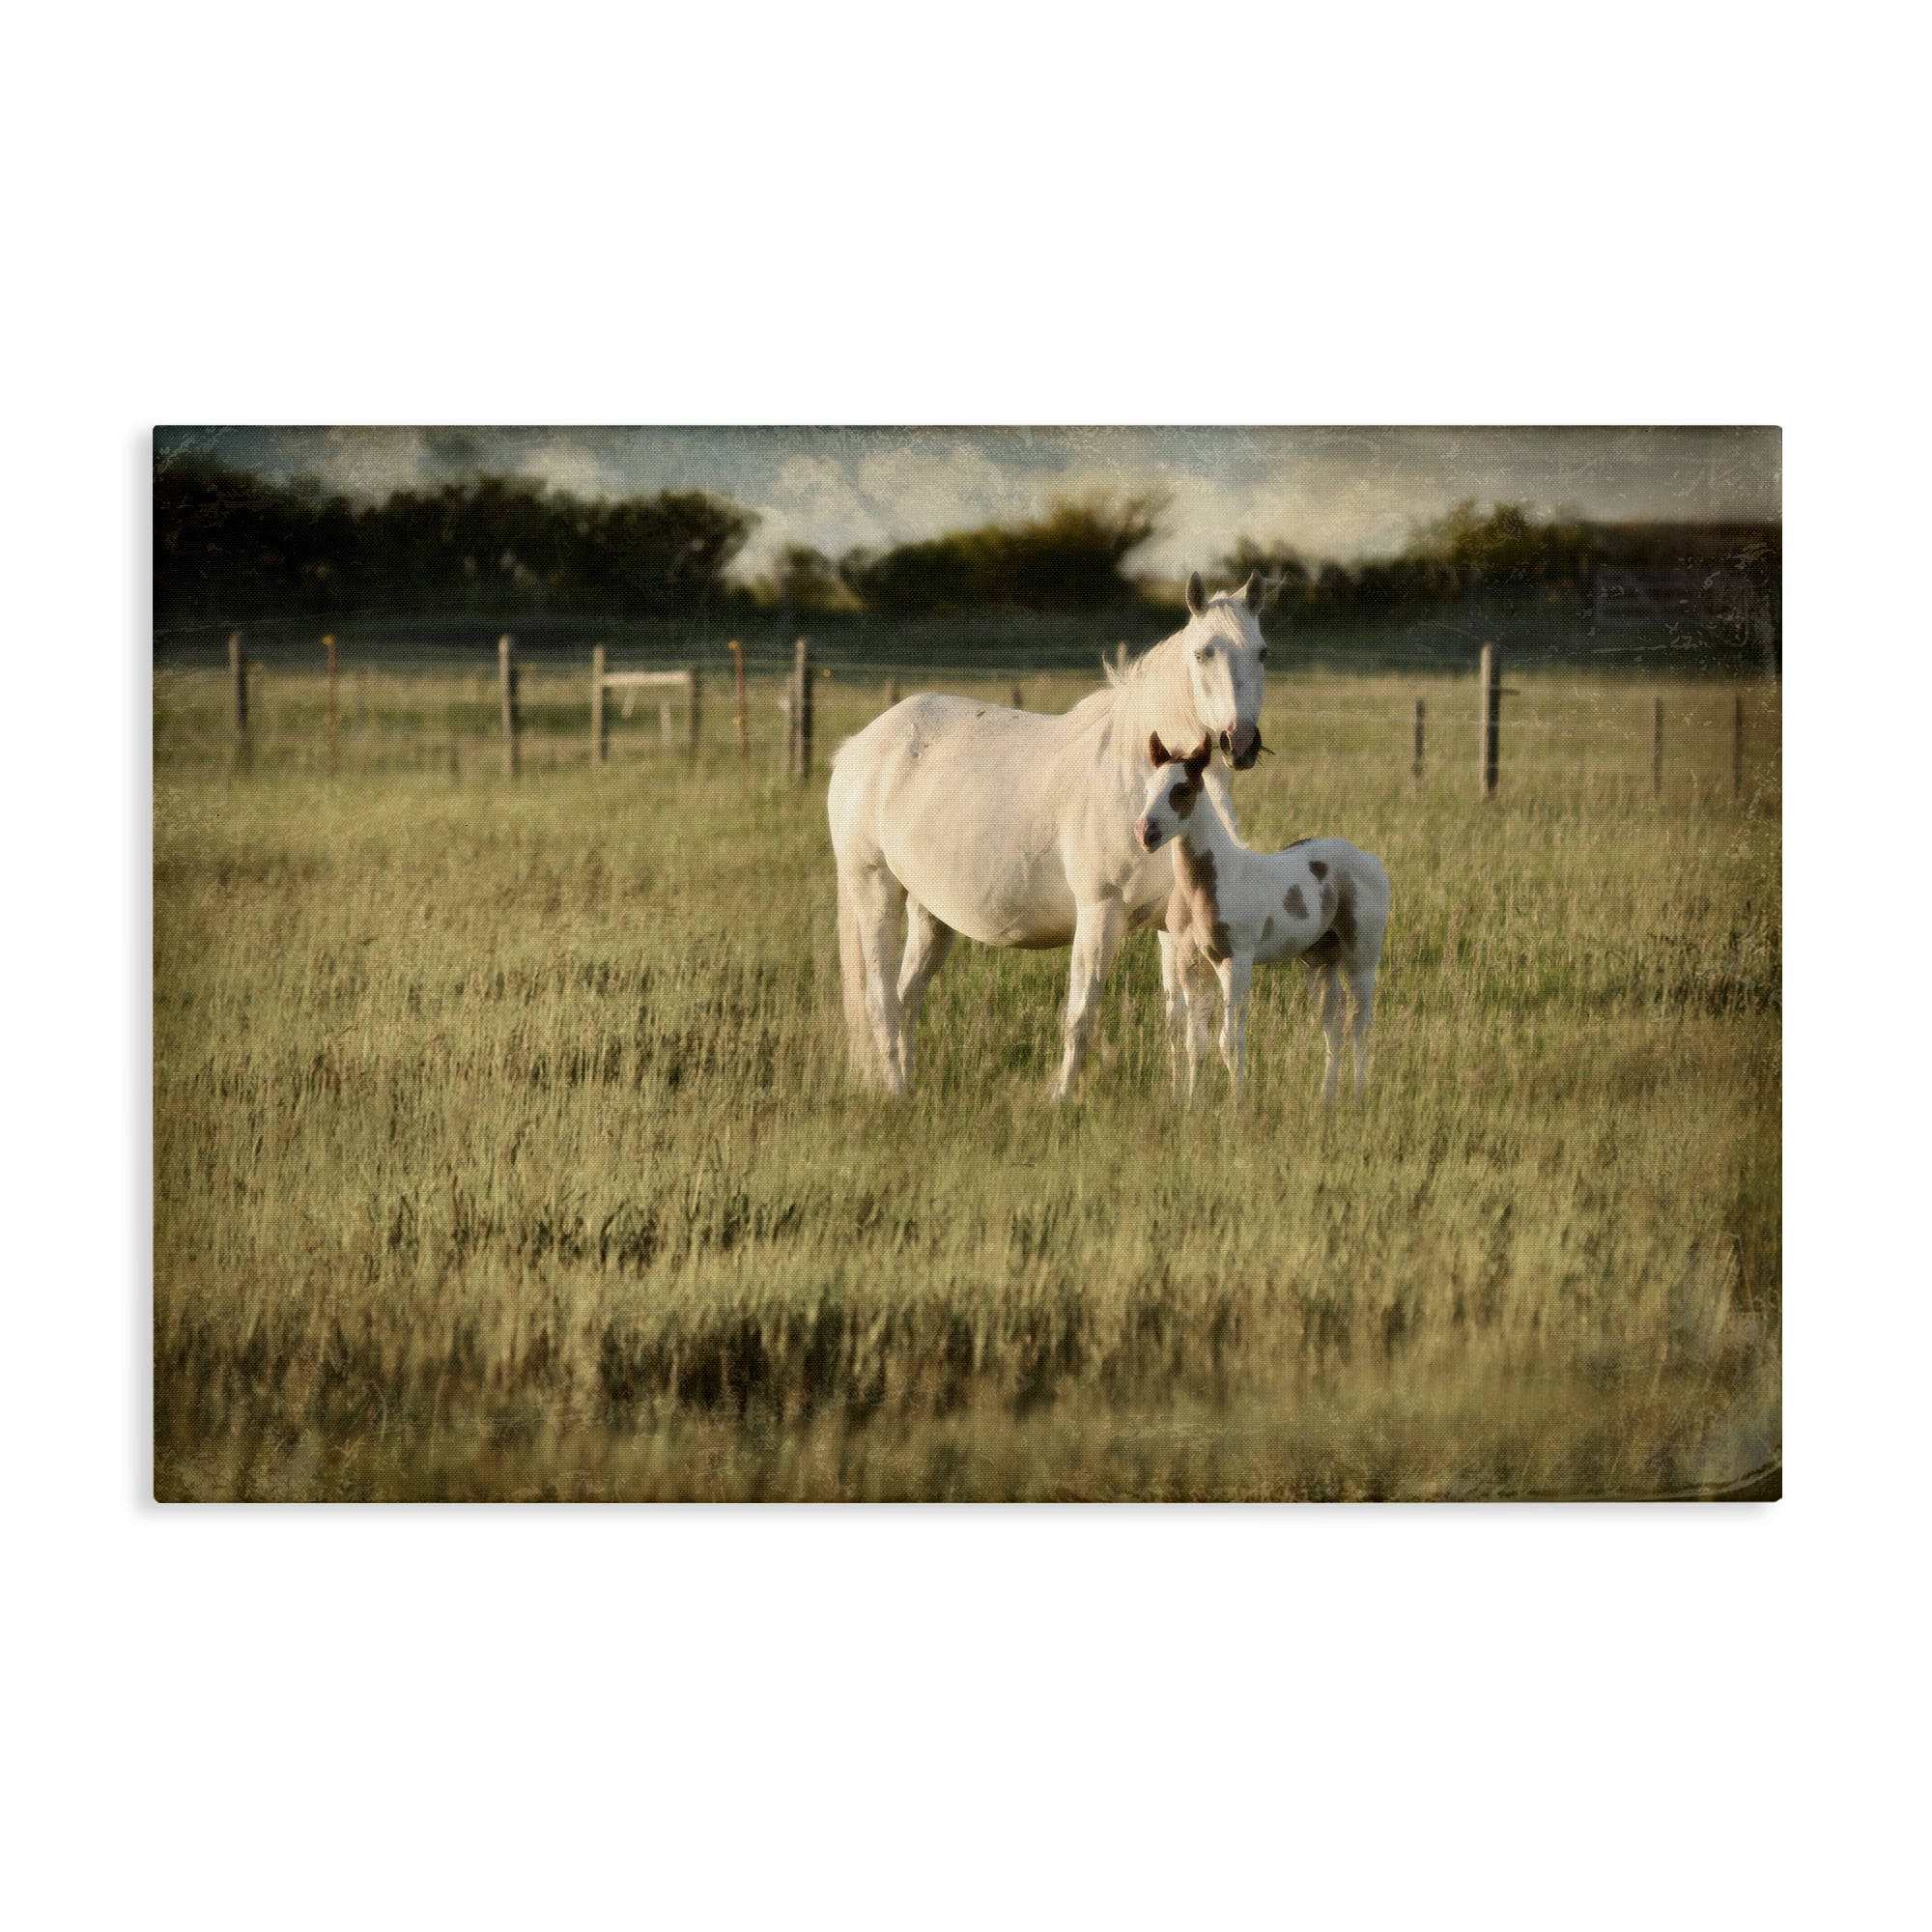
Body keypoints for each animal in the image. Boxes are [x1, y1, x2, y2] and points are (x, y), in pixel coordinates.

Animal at [827, 570, 1270, 1100]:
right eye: (1203, 653)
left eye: (1262, 652)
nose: (1239, 743)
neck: (1136, 777)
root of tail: (858, 747)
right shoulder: (1099, 913)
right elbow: (1081, 1017)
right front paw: (1060, 1098)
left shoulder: (1171, 926)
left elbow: (1180, 1021)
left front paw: (1180, 1097)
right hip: (875, 892)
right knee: (880, 1001)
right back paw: (896, 1093)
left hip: (930, 915)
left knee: (906, 999)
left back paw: (909, 1086)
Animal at [1136, 737, 1390, 1110]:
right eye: (1148, 788)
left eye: (1182, 789)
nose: (1145, 833)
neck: (1205, 885)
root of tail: (1371, 860)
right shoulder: (1191, 963)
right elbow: (1195, 1042)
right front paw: (1193, 1106)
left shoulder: (1235, 961)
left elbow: (1230, 1042)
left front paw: (1236, 1108)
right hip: (1320, 960)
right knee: (1334, 1021)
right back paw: (1326, 1099)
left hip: (1362, 956)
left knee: (1361, 1023)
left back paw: (1357, 1098)